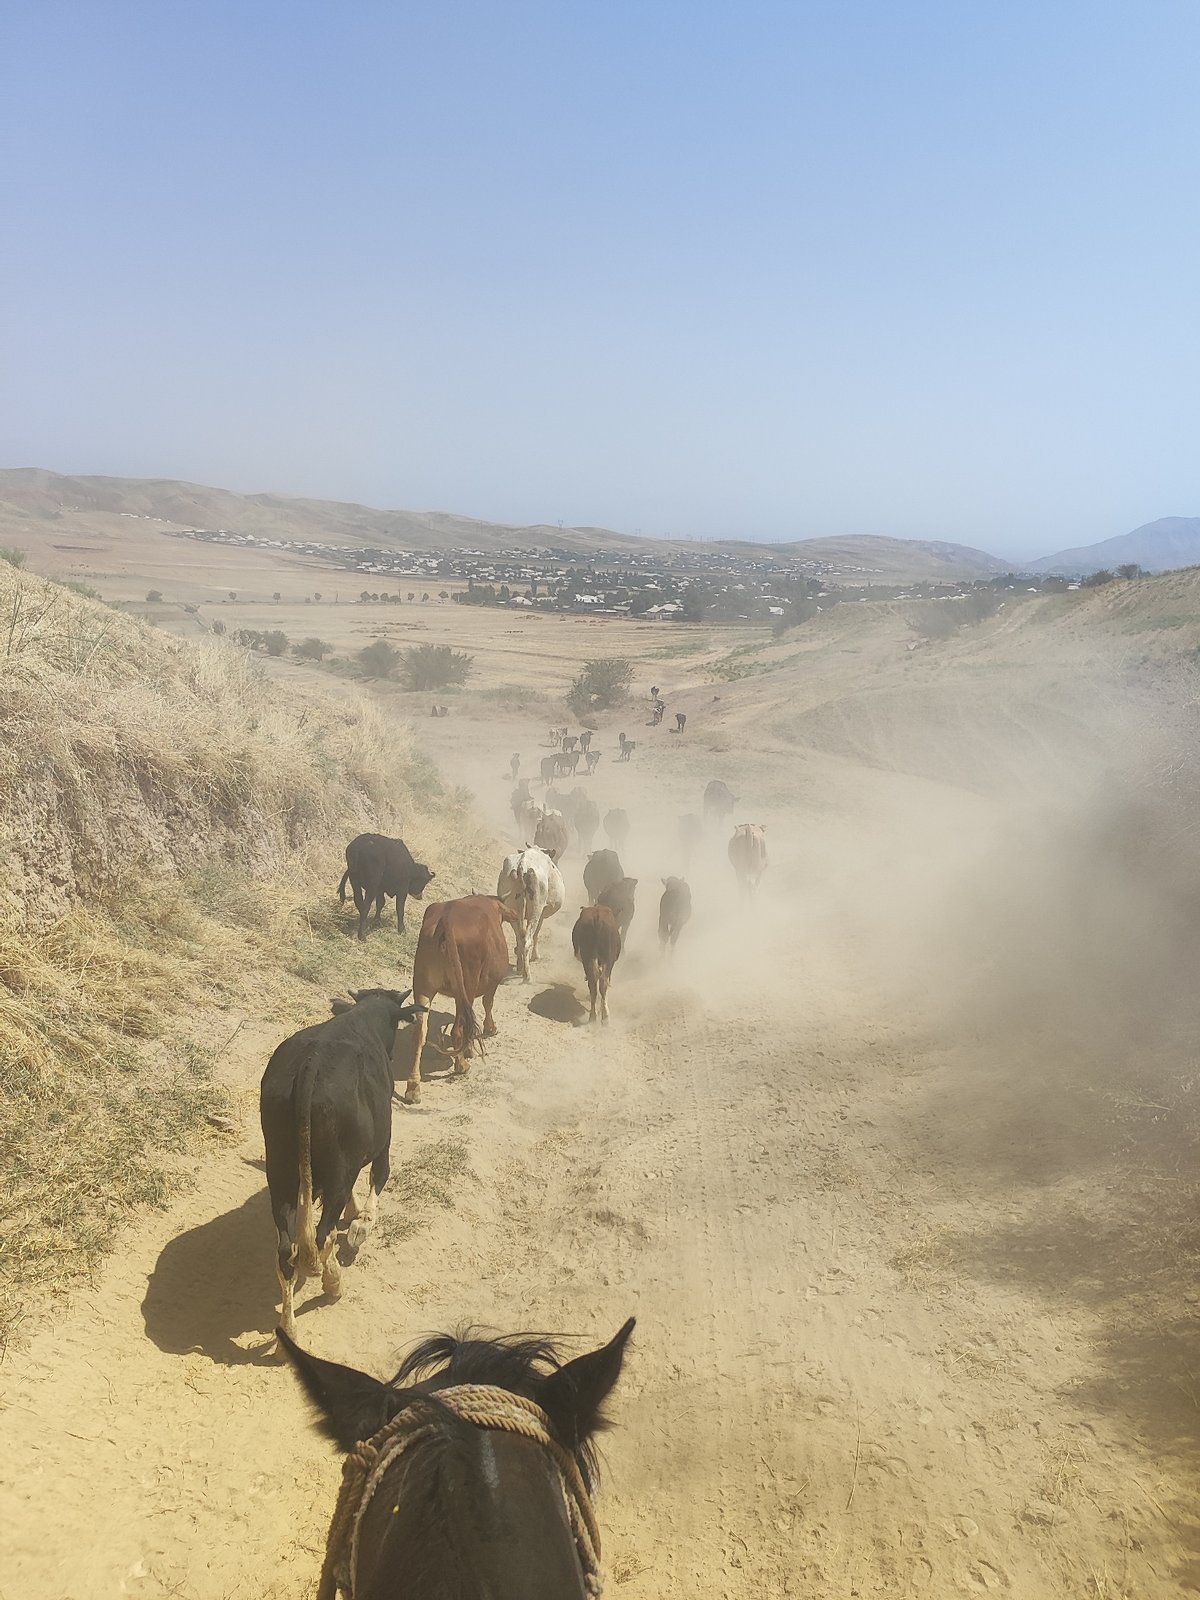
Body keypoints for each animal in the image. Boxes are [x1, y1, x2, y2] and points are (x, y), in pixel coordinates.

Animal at [261, 988, 427, 1340]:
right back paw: (333, 1283)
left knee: (286, 1251)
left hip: (280, 1170)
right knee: (322, 1236)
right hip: (334, 1168)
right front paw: (362, 1222)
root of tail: (309, 1067)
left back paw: (289, 1328)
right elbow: (378, 1177)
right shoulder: (381, 1144)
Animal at [403, 895, 517, 1103]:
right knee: (458, 1029)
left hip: (423, 986)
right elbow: (488, 1003)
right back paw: (461, 1065)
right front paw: (489, 1030)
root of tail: (446, 920)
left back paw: (413, 1087)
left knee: (419, 1033)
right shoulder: (491, 984)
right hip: (465, 988)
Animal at [497, 846, 564, 982]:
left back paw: (520, 965)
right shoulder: (542, 912)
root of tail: (523, 865)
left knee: (520, 938)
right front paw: (535, 956)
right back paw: (527, 976)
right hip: (535, 911)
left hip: (512, 910)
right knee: (527, 939)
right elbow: (536, 933)